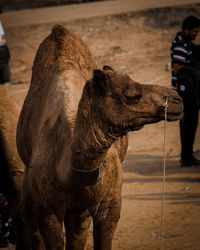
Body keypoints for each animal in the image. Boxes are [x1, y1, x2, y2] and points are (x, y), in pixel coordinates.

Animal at [17, 23, 183, 250]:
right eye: (132, 95)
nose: (177, 99)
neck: (66, 171)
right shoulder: (46, 210)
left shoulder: (110, 202)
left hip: (80, 207)